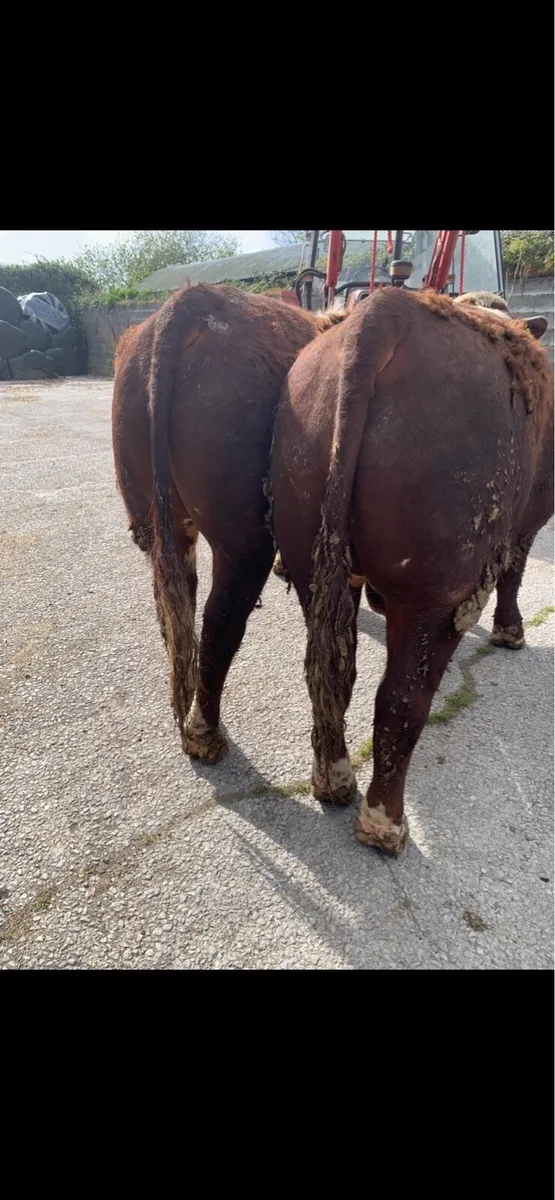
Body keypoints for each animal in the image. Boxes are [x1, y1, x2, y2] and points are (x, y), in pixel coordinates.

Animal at [112, 283, 345, 763]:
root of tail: (187, 305)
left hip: (154, 516)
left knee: (173, 603)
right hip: (243, 538)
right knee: (220, 621)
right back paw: (205, 733)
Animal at [269, 286, 553, 854]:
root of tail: (386, 314)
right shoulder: (532, 515)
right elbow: (514, 571)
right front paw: (510, 632)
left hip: (308, 546)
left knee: (328, 672)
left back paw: (333, 779)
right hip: (434, 592)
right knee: (401, 699)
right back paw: (384, 824)